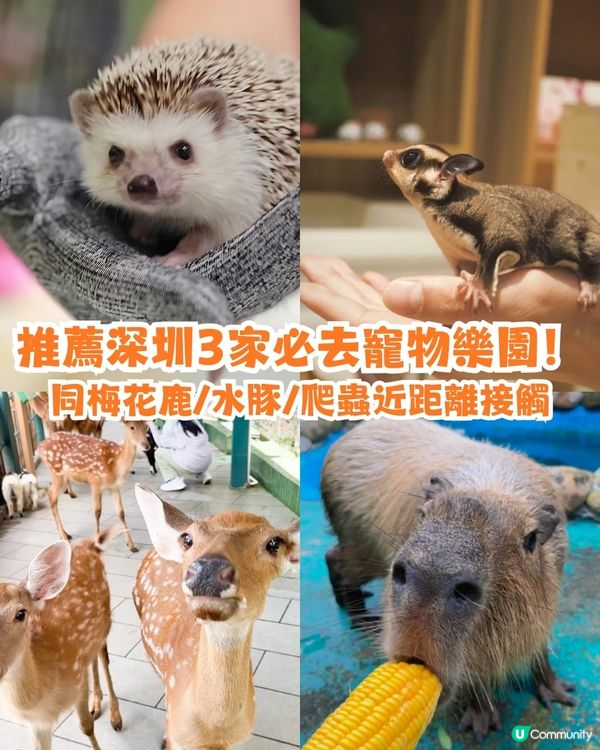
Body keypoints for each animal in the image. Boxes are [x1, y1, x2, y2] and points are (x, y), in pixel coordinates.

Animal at [0, 529, 123, 750]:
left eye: (21, 614)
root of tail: (89, 546)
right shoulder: (38, 723)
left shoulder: (77, 680)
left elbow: (86, 727)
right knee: (93, 658)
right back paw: (96, 703)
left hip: (105, 618)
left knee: (104, 657)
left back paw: (115, 717)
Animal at [37, 421, 150, 553]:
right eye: (132, 427)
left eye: (146, 427)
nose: (146, 445)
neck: (115, 463)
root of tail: (39, 447)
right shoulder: (95, 481)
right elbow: (97, 512)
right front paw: (97, 542)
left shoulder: (114, 486)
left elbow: (121, 512)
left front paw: (132, 545)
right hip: (57, 473)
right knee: (51, 496)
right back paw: (64, 536)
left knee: (52, 496)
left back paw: (66, 534)